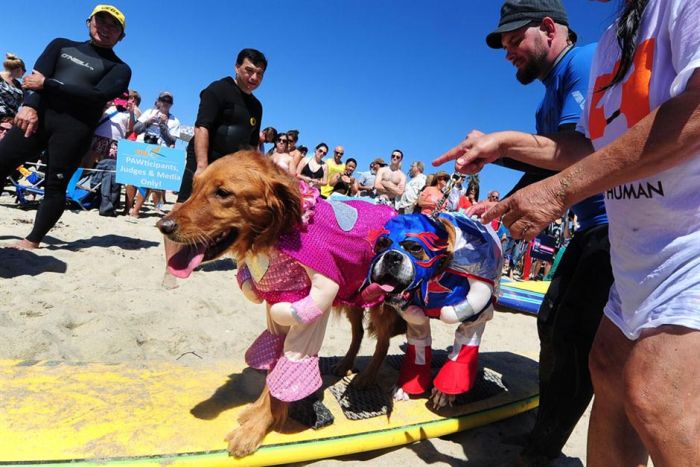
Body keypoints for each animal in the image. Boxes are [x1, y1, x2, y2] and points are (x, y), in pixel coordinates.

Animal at [157, 152, 400, 458]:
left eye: (223, 193)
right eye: (195, 186)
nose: (163, 226)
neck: (278, 236)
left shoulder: (307, 317)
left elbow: (288, 368)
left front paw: (256, 429)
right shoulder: (277, 308)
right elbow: (273, 364)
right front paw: (257, 413)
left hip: (380, 301)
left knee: (383, 342)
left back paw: (366, 377)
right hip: (353, 294)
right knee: (357, 333)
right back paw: (345, 364)